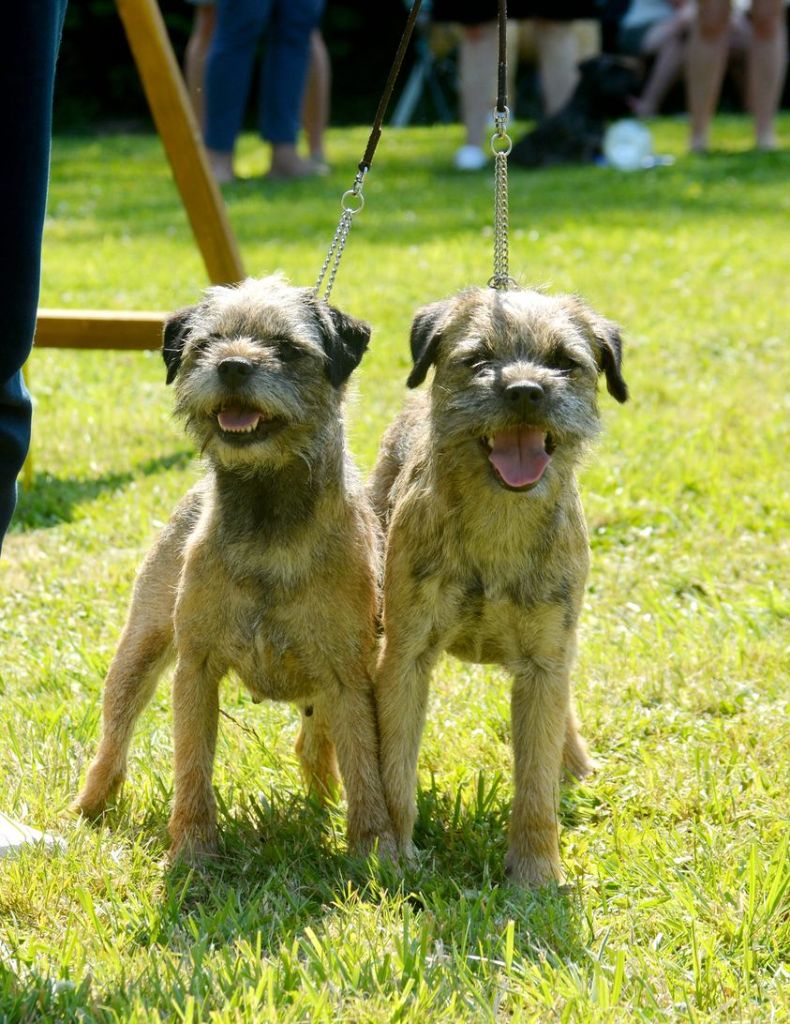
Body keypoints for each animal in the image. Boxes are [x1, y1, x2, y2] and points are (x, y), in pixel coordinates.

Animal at [73, 274, 395, 864]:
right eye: (208, 343)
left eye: (287, 348)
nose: (233, 365)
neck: (267, 512)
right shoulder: (196, 670)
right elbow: (192, 765)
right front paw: (193, 850)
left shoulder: (347, 679)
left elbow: (364, 766)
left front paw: (376, 850)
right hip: (139, 652)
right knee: (114, 738)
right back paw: (89, 809)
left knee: (314, 744)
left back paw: (322, 805)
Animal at [372, 284, 631, 884]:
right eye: (479, 359)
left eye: (564, 362)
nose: (525, 390)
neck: (499, 521)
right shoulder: (405, 658)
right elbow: (395, 770)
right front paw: (395, 857)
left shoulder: (543, 664)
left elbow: (535, 783)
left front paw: (535, 874)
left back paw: (575, 764)